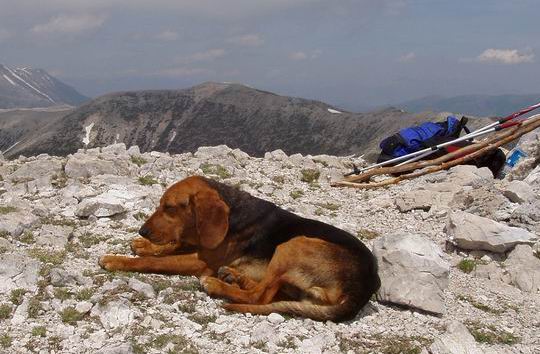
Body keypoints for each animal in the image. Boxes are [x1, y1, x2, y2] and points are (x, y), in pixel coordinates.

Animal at [100, 176, 380, 322]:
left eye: (169, 208)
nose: (142, 232)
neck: (234, 209)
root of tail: (362, 288)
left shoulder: (202, 262)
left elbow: (157, 261)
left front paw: (118, 260)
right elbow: (172, 245)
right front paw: (144, 245)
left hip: (293, 244)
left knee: (259, 296)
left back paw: (218, 284)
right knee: (268, 292)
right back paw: (233, 276)